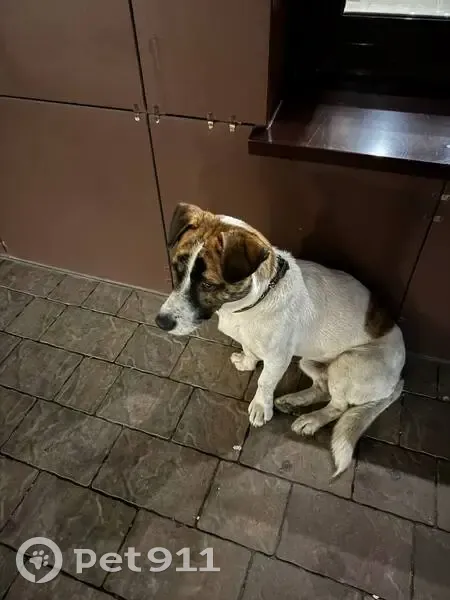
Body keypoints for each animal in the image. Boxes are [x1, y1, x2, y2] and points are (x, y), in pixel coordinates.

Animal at [156, 203, 405, 475]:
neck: (248, 305)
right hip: (310, 361)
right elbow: (249, 351)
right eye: (176, 269)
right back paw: (293, 400)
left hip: (347, 365)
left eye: (208, 285)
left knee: (338, 405)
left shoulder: (278, 359)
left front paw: (260, 407)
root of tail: (398, 382)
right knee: (322, 387)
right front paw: (247, 362)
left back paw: (311, 420)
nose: (161, 322)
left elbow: (264, 381)